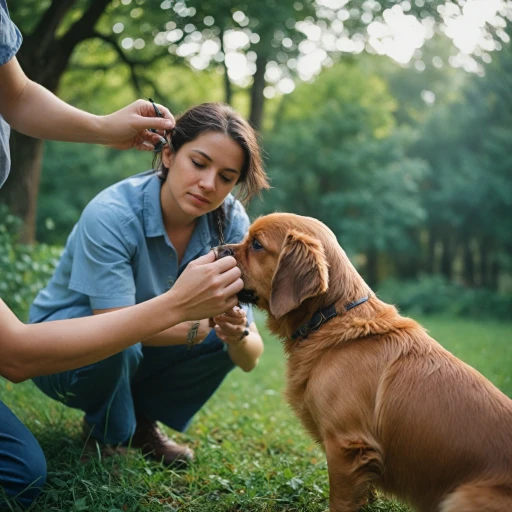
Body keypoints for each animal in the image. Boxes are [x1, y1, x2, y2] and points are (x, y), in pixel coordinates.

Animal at [215, 213, 512, 512]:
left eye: (256, 244)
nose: (218, 249)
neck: (329, 316)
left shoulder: (346, 446)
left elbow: (340, 501)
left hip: (461, 497)